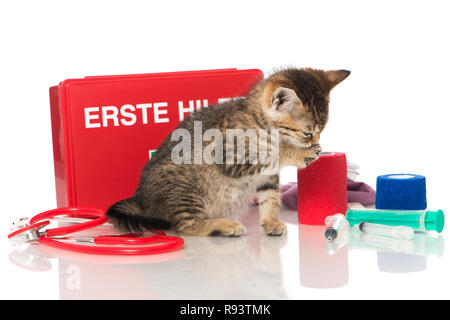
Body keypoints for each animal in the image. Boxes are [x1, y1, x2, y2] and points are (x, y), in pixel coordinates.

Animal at [106, 67, 352, 236]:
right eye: (308, 133)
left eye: (321, 130)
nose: (317, 142)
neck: (263, 124)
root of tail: (141, 198)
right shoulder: (229, 157)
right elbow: (271, 154)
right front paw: (298, 154)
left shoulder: (267, 176)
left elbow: (270, 195)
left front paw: (271, 221)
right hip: (184, 186)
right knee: (184, 227)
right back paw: (224, 225)